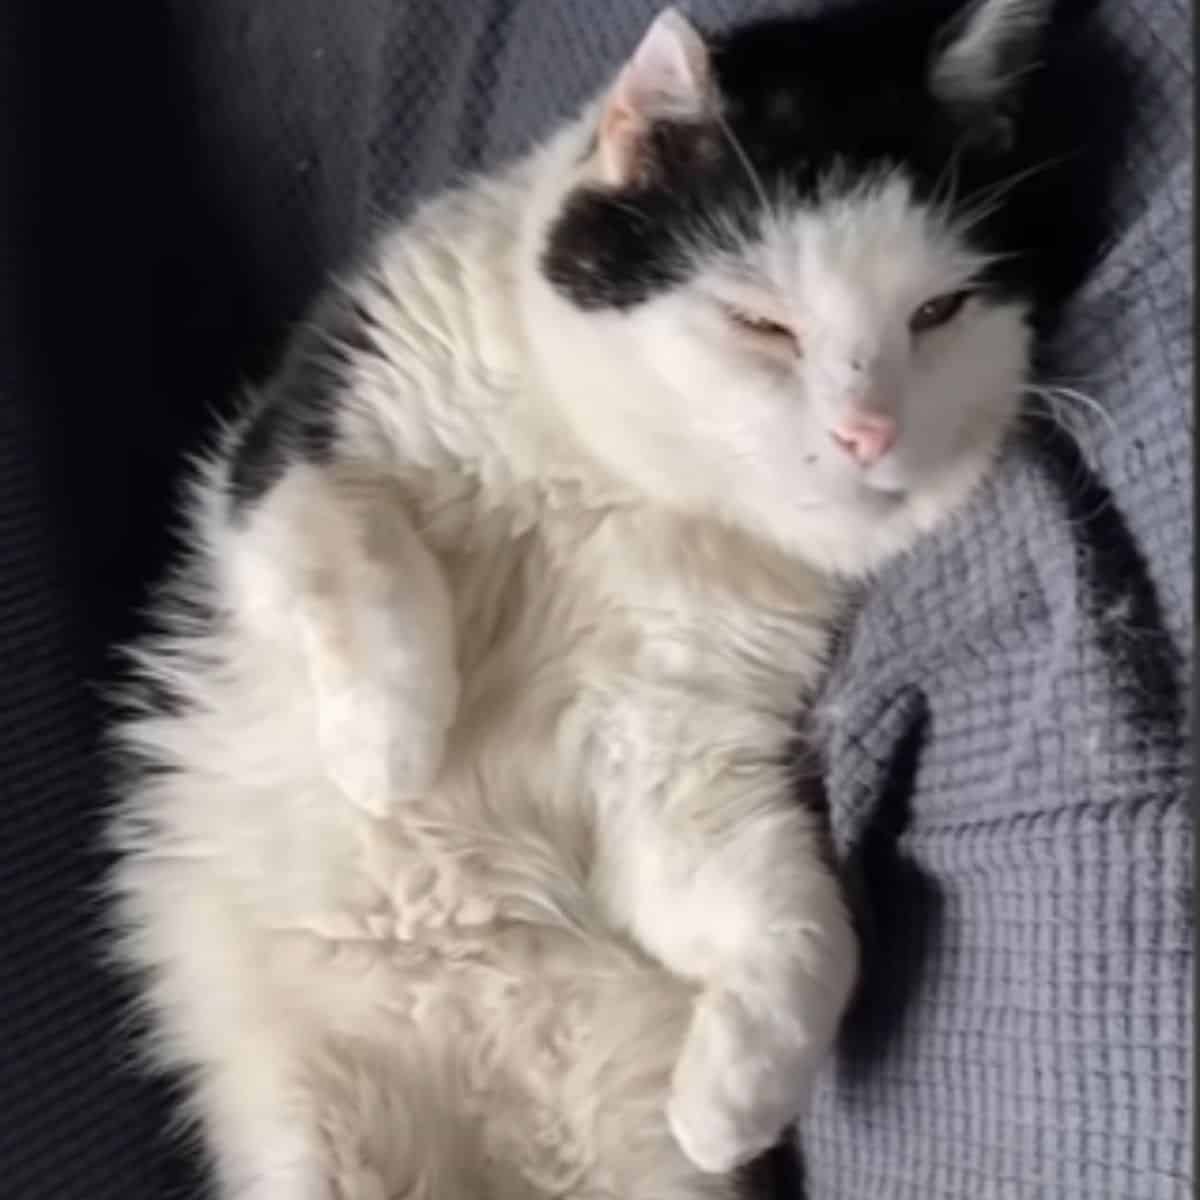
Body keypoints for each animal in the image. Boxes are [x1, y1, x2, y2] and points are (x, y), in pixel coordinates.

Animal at [108, 2, 1056, 1200]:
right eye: (762, 323)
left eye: (939, 312)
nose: (868, 431)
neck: (625, 488)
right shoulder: (292, 451)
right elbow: (367, 554)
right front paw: (391, 753)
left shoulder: (672, 751)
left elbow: (801, 916)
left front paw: (732, 1096)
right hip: (304, 1142)